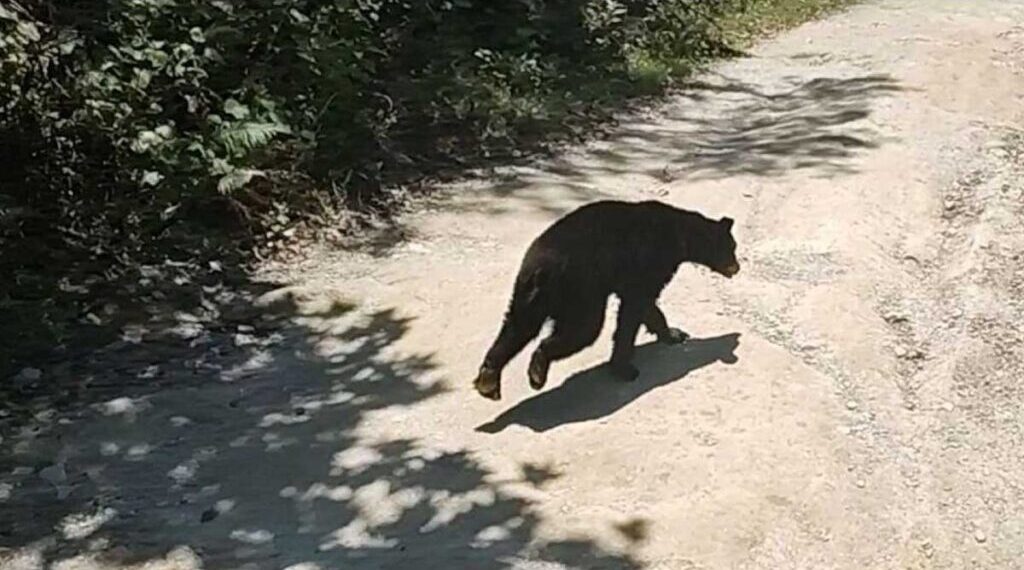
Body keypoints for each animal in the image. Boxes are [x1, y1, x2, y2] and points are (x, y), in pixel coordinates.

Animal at [473, 199, 740, 401]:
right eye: (731, 248)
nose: (737, 268)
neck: (680, 236)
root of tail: (541, 269)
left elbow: (647, 307)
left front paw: (673, 333)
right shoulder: (649, 262)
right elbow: (634, 308)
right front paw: (623, 366)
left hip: (529, 294)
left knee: (518, 327)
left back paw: (489, 379)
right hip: (581, 291)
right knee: (583, 330)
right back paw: (538, 369)